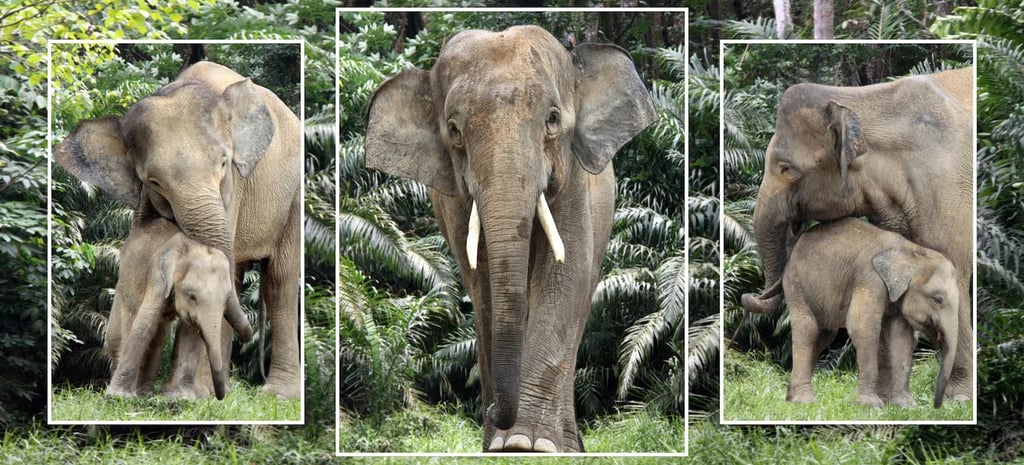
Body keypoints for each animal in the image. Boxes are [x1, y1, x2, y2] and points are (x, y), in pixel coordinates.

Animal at [106, 218, 253, 400]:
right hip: (124, 287)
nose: (220, 396)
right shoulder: (157, 277)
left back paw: (145, 393)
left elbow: (189, 331)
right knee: (127, 328)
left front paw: (181, 397)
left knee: (158, 336)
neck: (190, 248)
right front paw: (118, 396)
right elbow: (144, 324)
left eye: (226, 298)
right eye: (192, 296)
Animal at [364, 25, 656, 452]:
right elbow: (484, 285)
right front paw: (506, 445)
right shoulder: (456, 203)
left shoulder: (576, 184)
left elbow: (564, 275)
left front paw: (529, 444)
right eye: (454, 131)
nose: (491, 412)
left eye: (552, 119)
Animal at [759, 218, 958, 409]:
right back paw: (805, 401)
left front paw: (906, 405)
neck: (913, 251)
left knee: (824, 335)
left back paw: (791, 397)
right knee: (808, 329)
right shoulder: (870, 278)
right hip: (796, 284)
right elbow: (862, 327)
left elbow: (901, 339)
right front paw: (872, 405)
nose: (936, 406)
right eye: (938, 299)